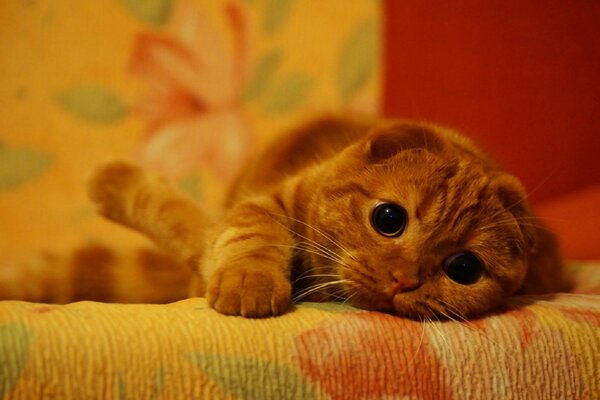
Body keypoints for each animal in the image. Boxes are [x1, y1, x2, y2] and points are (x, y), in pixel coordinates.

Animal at [88, 115, 568, 318]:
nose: (404, 280)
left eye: (464, 268)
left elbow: (188, 221)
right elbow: (243, 234)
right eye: (388, 218)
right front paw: (249, 282)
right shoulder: (268, 202)